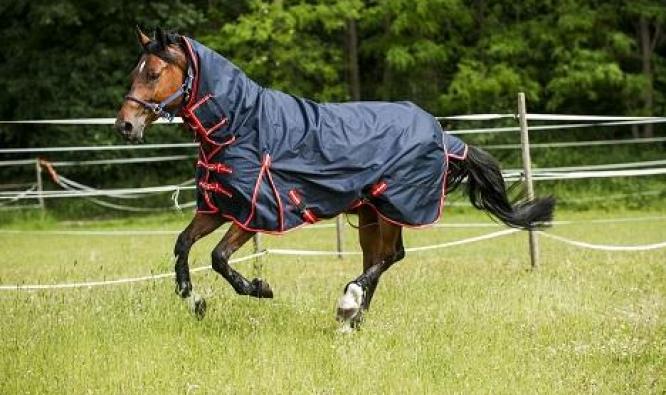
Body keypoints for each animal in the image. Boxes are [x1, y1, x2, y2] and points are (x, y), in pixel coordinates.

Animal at [115, 27, 556, 330]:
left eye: (153, 73)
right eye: (135, 72)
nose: (125, 125)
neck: (239, 125)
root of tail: (444, 137)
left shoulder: (254, 214)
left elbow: (219, 258)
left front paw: (260, 288)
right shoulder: (220, 207)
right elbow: (182, 246)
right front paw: (195, 302)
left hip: (393, 207)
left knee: (390, 257)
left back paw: (348, 303)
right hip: (371, 215)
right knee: (379, 259)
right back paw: (352, 320)